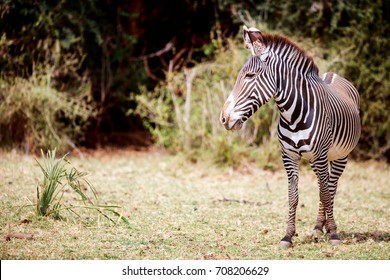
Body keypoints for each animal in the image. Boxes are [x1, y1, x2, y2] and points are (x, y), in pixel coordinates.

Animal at [221, 26, 362, 247]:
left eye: (250, 76)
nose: (224, 118)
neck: (294, 116)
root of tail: (333, 75)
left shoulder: (320, 155)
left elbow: (325, 193)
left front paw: (333, 234)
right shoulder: (289, 156)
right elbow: (293, 196)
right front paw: (288, 235)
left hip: (340, 156)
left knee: (330, 187)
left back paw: (327, 227)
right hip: (317, 159)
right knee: (325, 186)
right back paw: (317, 227)